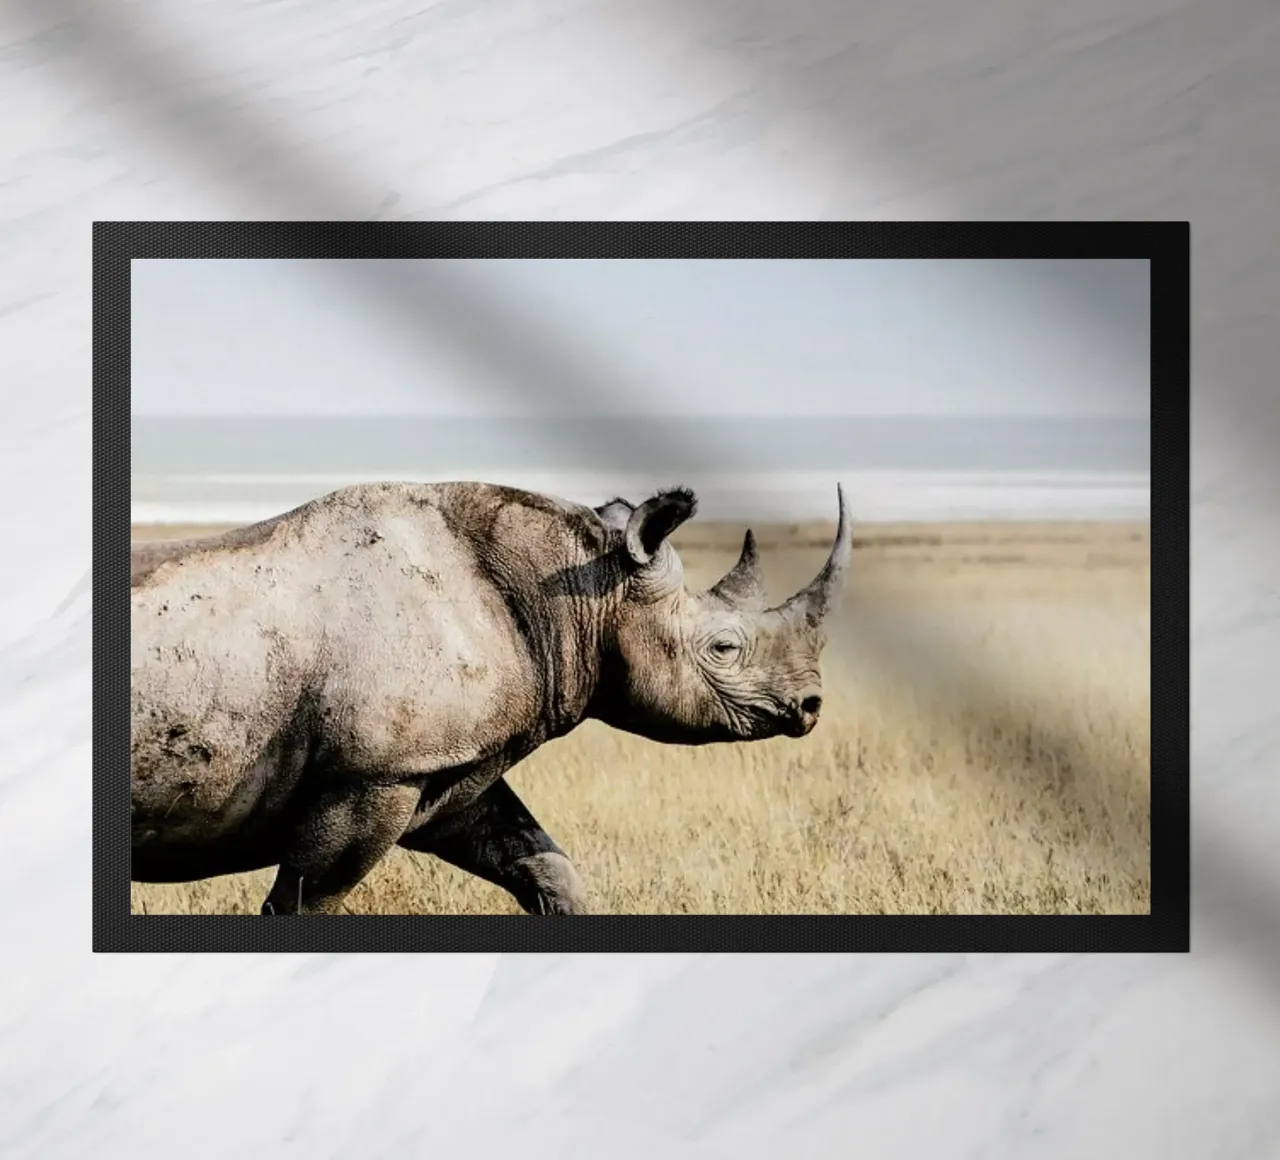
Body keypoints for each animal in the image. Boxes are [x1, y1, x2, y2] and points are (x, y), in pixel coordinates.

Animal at [130, 480, 853, 915]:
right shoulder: (374, 775)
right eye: (723, 649)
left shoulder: (447, 768)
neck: (579, 593)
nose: (812, 707)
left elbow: (545, 867)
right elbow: (304, 902)